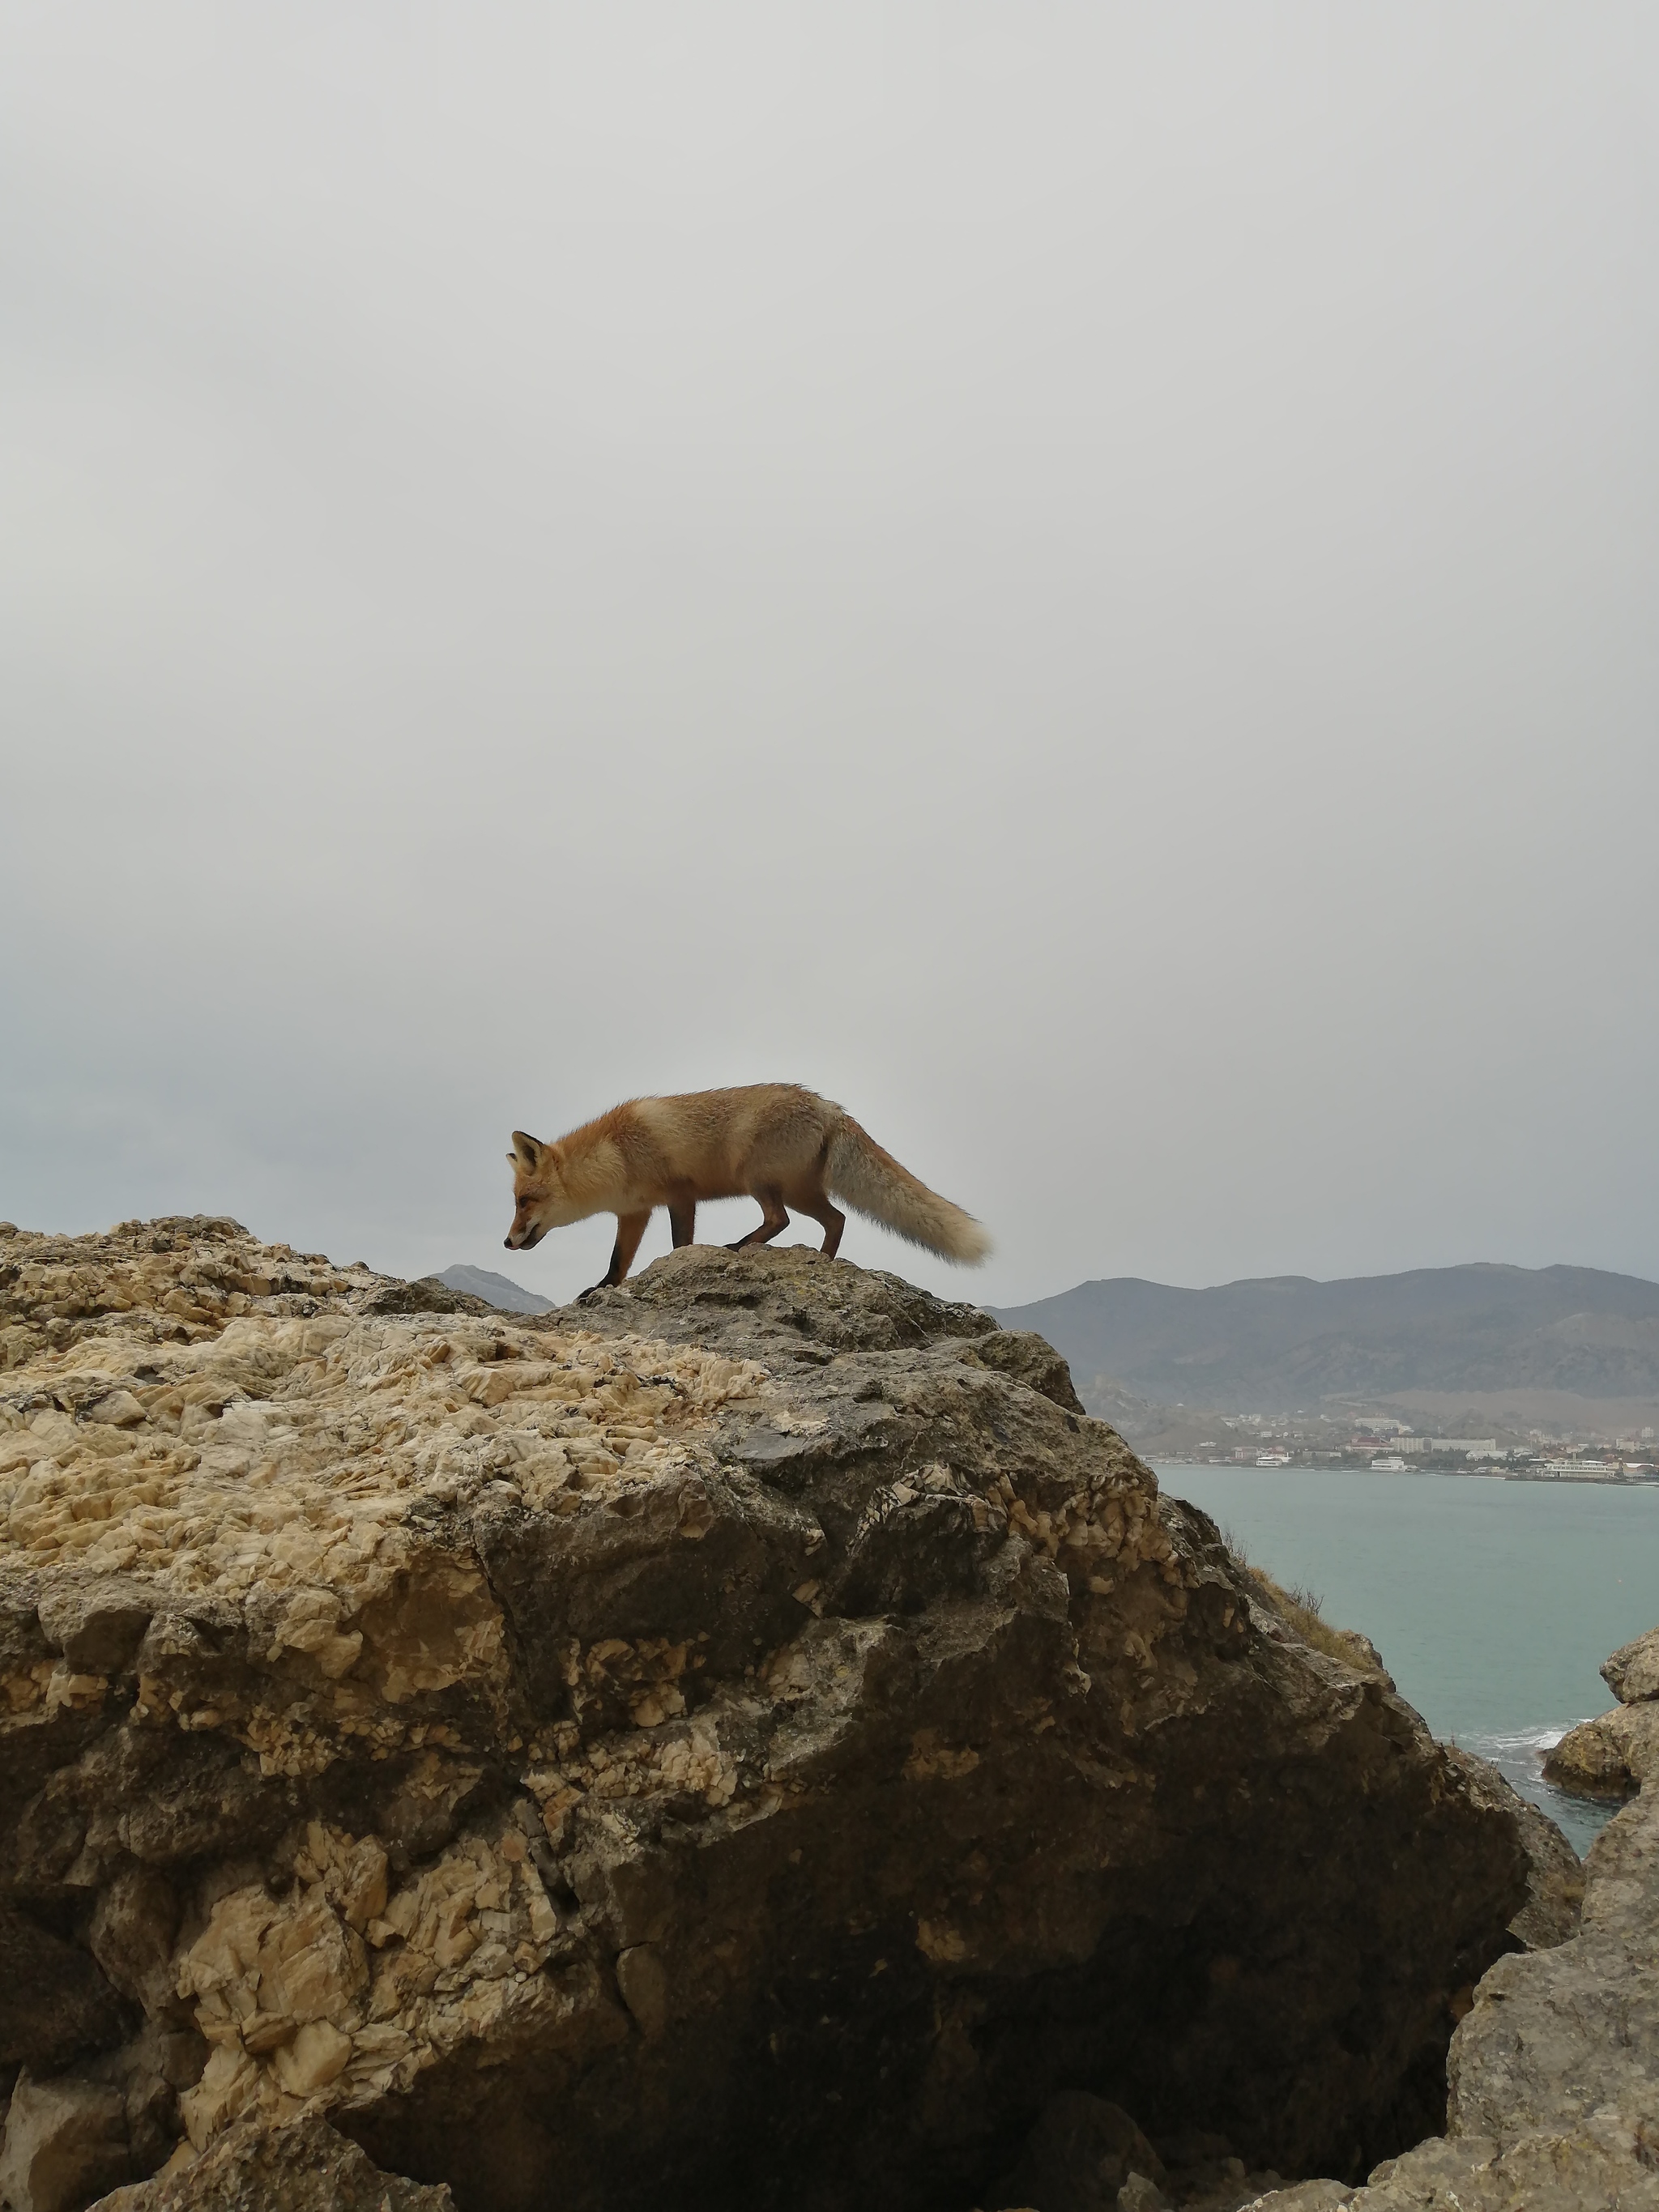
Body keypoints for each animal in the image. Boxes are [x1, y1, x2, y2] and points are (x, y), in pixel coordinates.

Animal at [500, 1079, 995, 1291]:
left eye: (526, 1201)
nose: (506, 1242)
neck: (615, 1155)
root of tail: (831, 1106)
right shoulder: (634, 1212)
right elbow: (617, 1261)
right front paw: (602, 1289)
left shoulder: (680, 1195)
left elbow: (680, 1244)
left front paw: (681, 1265)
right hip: (801, 1190)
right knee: (835, 1220)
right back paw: (822, 1261)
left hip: (759, 1180)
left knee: (781, 1220)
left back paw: (738, 1248)